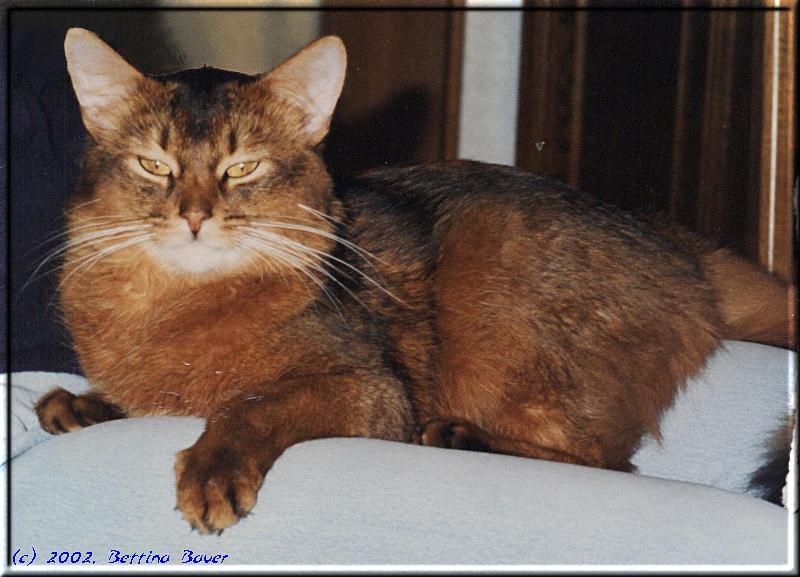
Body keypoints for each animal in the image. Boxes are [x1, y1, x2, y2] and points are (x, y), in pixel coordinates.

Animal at [36, 27, 792, 532]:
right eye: (153, 165)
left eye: (242, 168)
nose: (193, 217)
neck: (173, 304)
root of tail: (678, 245)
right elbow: (138, 399)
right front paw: (84, 404)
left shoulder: (372, 391)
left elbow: (252, 403)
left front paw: (213, 469)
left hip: (498, 289)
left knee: (602, 459)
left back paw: (460, 435)